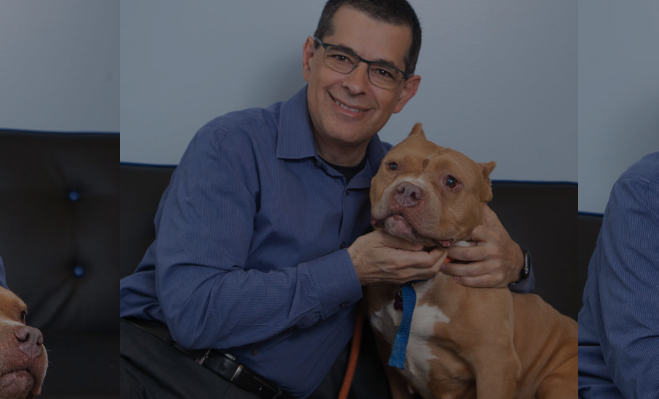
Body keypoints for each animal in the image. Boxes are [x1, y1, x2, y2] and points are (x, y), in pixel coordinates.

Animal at [366, 123, 576, 398]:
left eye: (451, 181)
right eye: (393, 166)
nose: (408, 190)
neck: (421, 285)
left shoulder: (495, 364)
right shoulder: (388, 356)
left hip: (557, 382)